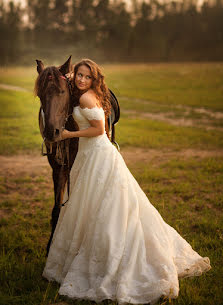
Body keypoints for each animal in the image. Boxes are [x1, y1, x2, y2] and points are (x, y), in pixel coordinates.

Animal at [34, 55, 120, 254]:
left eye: (63, 91)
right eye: (40, 94)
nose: (52, 132)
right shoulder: (58, 168)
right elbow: (57, 207)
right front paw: (51, 245)